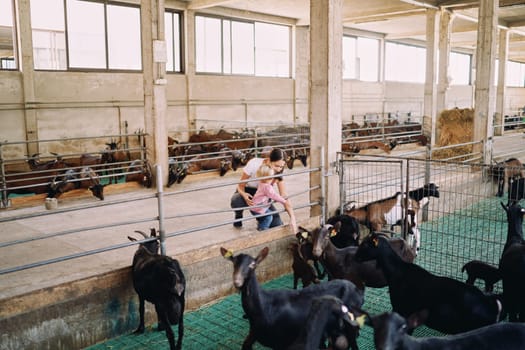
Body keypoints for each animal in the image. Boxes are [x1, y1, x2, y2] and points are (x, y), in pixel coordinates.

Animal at [219, 246, 362, 350]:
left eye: (252, 265)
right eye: (233, 263)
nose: (237, 281)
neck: (264, 305)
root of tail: (355, 289)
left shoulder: (280, 340)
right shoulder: (254, 334)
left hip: (349, 325)